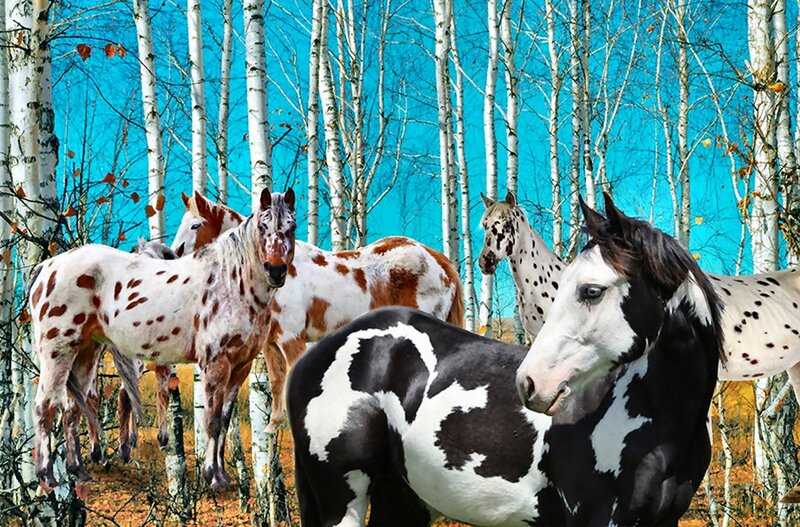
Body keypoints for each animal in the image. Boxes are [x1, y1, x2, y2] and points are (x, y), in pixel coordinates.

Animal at [29, 188, 296, 490]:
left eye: (291, 227)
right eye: (262, 227)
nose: (276, 271)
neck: (230, 280)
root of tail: (48, 266)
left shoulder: (241, 366)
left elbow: (225, 420)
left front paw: (222, 475)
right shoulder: (215, 363)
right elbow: (212, 421)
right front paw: (212, 476)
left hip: (85, 352)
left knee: (72, 407)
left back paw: (79, 471)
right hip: (57, 351)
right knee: (45, 406)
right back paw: (47, 476)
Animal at [148, 191, 463, 433]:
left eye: (195, 225)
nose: (173, 254)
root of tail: (440, 261)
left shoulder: (292, 338)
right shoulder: (271, 343)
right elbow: (277, 381)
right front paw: (273, 426)